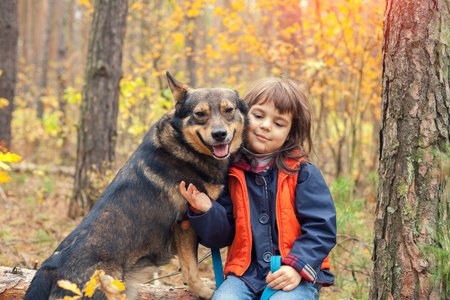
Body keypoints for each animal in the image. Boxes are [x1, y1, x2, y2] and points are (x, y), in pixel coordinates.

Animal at [23, 71, 250, 298]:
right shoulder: (185, 223)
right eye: (200, 114)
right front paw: (202, 291)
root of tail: (49, 269)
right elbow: (191, 266)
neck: (184, 146)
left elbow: (186, 267)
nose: (219, 134)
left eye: (228, 110)